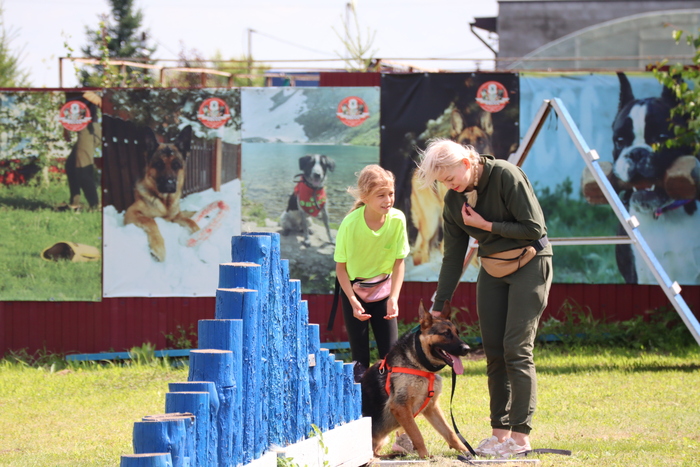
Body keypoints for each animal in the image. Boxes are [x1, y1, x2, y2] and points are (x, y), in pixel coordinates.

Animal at [124, 125, 199, 262]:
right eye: (158, 164)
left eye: (176, 165)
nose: (169, 184)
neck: (165, 201)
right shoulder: (131, 212)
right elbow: (150, 221)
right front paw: (158, 248)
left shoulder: (175, 217)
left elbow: (191, 222)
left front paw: (200, 235)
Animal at [361, 300, 471, 458]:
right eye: (446, 334)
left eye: (457, 333)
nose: (467, 349)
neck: (420, 366)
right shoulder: (401, 407)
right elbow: (417, 434)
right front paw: (425, 457)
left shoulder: (432, 407)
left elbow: (450, 432)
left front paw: (466, 451)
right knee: (372, 455)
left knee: (375, 453)